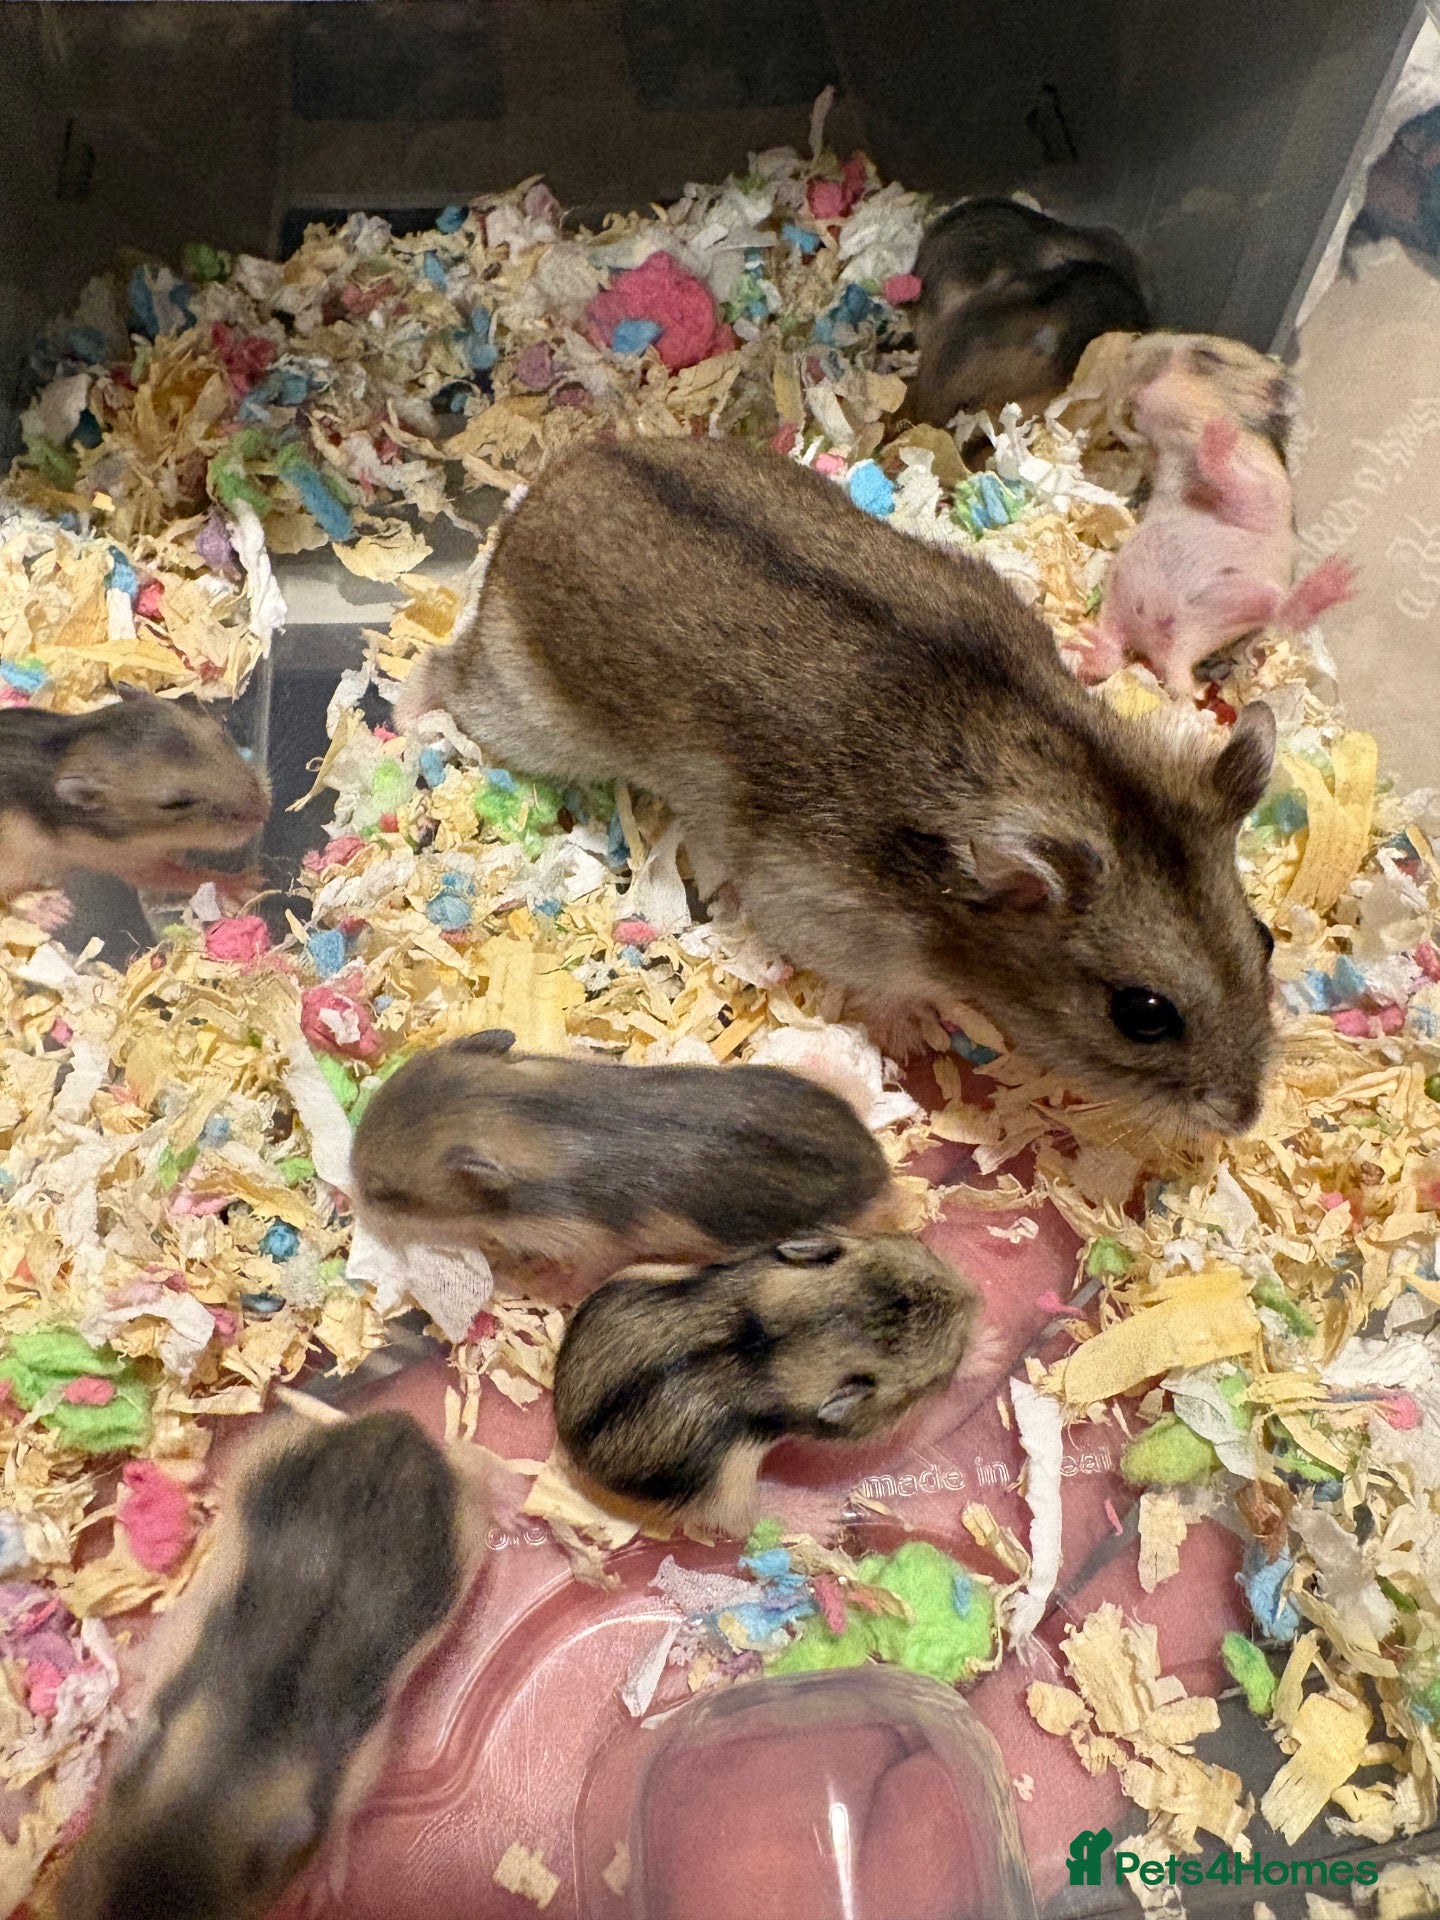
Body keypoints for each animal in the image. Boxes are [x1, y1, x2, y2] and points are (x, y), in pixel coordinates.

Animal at [0, 688, 269, 915]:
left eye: (221, 731)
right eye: (175, 804)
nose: (264, 814)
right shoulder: (133, 864)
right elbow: (190, 875)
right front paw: (251, 883)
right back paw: (56, 911)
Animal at [349, 1030, 901, 1293]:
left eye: (383, 1192)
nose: (352, 1189)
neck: (523, 1113)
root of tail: (881, 1169)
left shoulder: (591, 1246)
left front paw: (520, 1279)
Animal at [397, 436, 1278, 1136]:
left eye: (1265, 938)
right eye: (1143, 1015)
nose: (1245, 1118)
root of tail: (555, 475)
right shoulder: (819, 908)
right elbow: (883, 990)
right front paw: (925, 1031)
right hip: (527, 715)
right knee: (447, 670)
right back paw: (411, 709)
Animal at [552, 1231, 982, 1536]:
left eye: (922, 1245)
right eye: (936, 1376)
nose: (975, 1296)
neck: (767, 1339)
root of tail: (570, 1448)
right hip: (726, 1491)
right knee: (749, 1518)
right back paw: (823, 1517)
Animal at [1083, 348, 1355, 693]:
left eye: (1207, 360)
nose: (1140, 392)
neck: (1178, 453)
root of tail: (1175, 653)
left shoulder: (1259, 488)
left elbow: (1233, 479)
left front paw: (1218, 436)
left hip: (1235, 596)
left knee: (1283, 611)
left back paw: (1336, 577)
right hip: (1120, 599)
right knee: (1115, 651)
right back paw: (1086, 649)